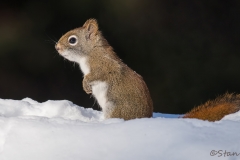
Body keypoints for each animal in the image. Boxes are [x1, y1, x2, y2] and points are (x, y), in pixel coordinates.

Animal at [55, 18, 240, 121]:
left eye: (72, 40)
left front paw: (86, 84)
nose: (57, 47)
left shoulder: (103, 65)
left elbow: (98, 74)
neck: (91, 52)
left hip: (116, 109)